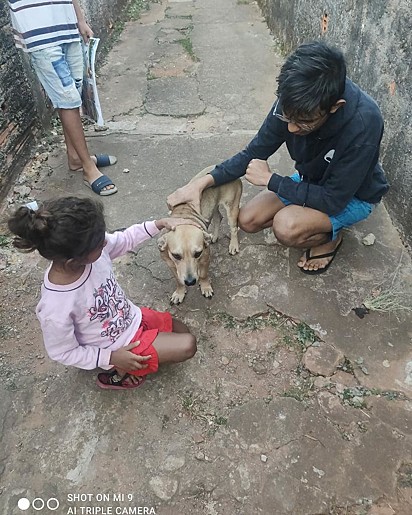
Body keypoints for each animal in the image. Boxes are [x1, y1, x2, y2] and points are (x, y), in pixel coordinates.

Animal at [157, 165, 241, 304]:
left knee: (233, 228)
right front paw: (180, 292)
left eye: (198, 253)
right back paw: (214, 236)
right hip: (213, 207)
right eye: (176, 255)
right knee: (218, 218)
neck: (184, 219)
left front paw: (205, 287)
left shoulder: (205, 259)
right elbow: (178, 280)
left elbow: (203, 275)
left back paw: (233, 245)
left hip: (232, 207)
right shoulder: (171, 265)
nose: (190, 282)